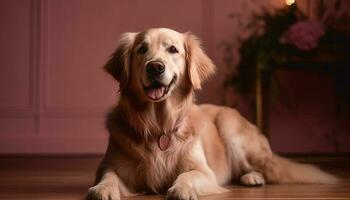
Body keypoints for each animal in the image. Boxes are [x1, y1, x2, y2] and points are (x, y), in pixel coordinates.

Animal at [86, 28, 338, 200]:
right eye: (142, 50)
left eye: (173, 50)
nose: (155, 67)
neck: (159, 125)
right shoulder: (110, 166)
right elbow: (108, 176)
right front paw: (102, 190)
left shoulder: (205, 172)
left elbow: (187, 175)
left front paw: (181, 189)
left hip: (230, 128)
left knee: (254, 167)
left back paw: (252, 177)